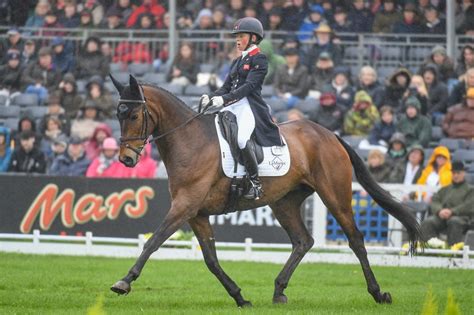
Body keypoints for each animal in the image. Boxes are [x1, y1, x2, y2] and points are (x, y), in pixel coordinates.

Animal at [108, 75, 422, 308]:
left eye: (134, 115)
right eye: (118, 115)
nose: (127, 160)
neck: (191, 141)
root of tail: (329, 134)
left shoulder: (184, 206)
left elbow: (152, 242)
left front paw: (123, 282)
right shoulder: (196, 213)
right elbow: (211, 259)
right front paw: (240, 297)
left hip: (335, 196)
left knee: (355, 239)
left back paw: (378, 293)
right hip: (284, 202)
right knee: (303, 241)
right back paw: (279, 291)